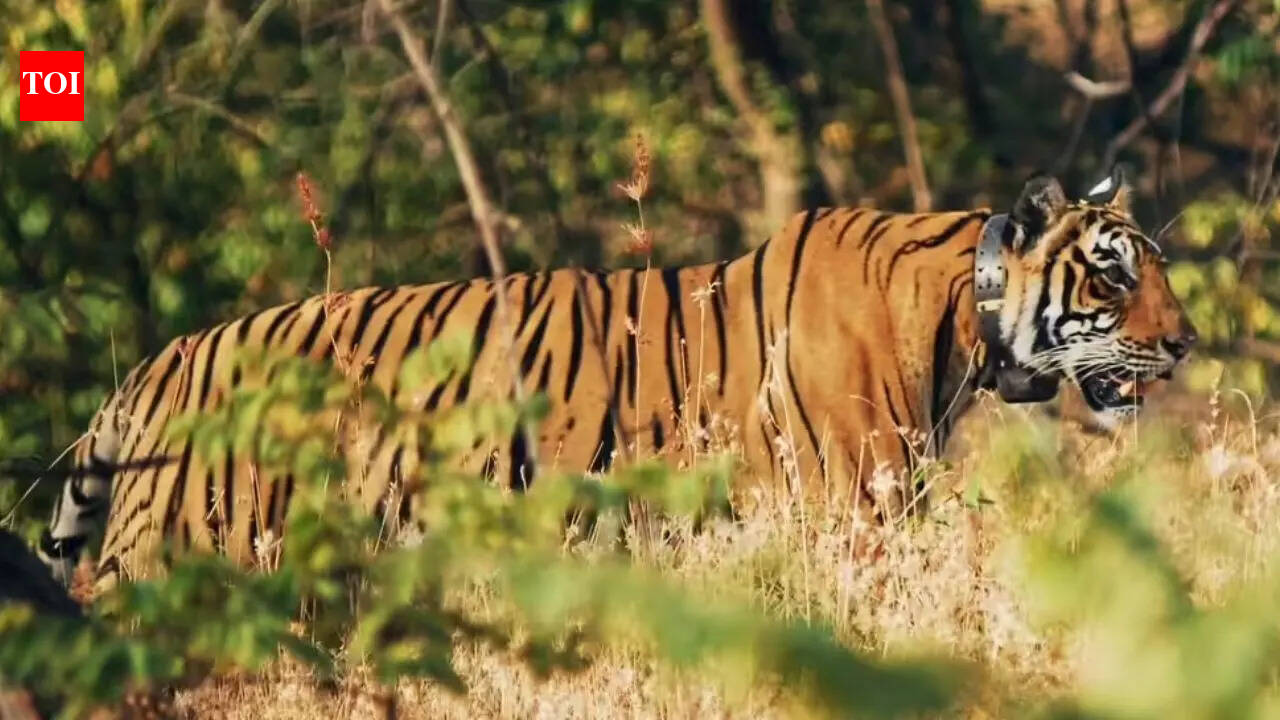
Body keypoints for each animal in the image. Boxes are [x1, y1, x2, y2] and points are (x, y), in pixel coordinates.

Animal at [37, 170, 1197, 589]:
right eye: (1113, 271)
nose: (1186, 344)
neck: (967, 322)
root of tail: (158, 362)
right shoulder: (853, 511)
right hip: (175, 557)